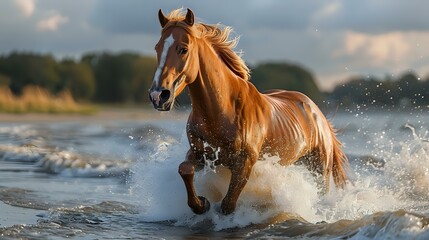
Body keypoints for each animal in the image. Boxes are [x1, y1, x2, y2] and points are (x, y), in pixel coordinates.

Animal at [148, 7, 348, 216]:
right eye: (157, 47)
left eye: (183, 49)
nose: (158, 95)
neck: (222, 112)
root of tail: (318, 114)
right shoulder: (200, 155)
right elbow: (185, 169)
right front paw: (202, 203)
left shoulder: (245, 163)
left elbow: (228, 204)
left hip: (319, 169)